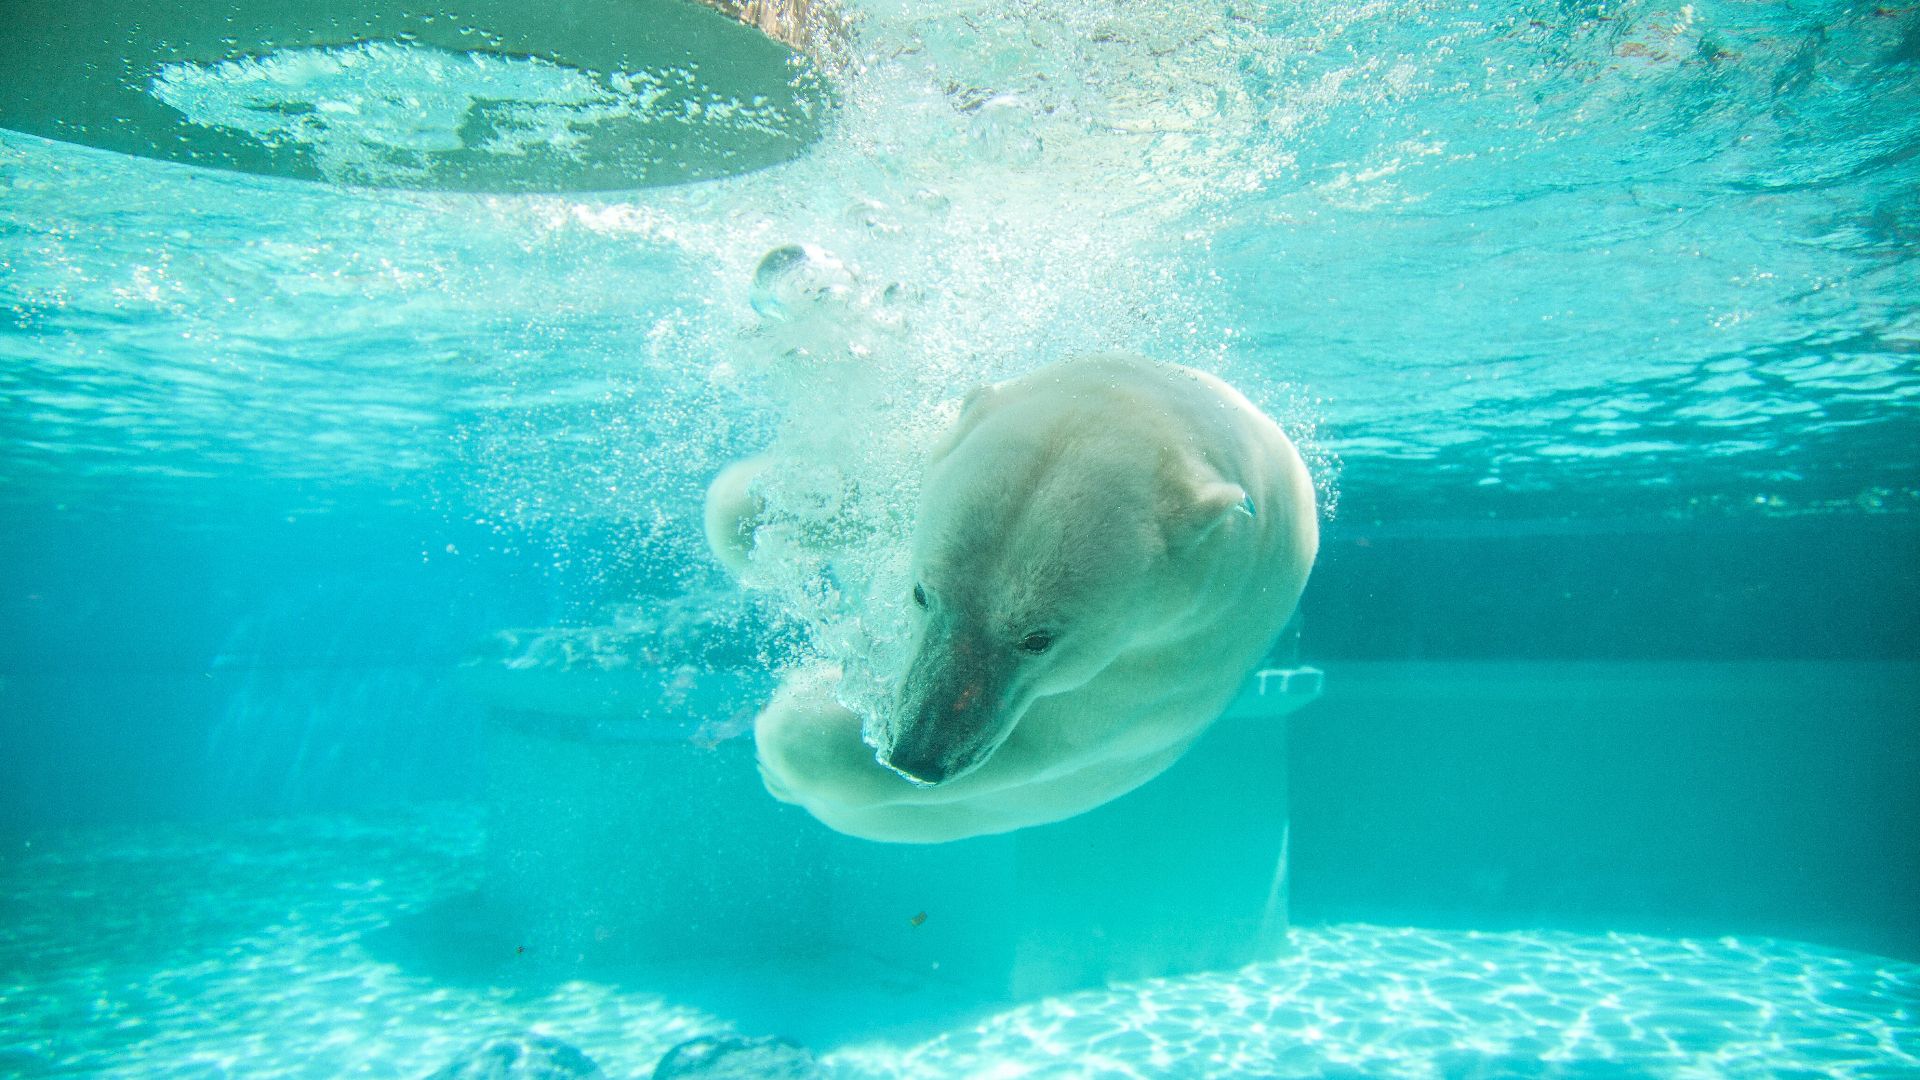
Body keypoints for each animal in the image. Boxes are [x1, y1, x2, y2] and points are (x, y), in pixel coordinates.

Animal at [710, 354, 1318, 843]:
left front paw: (795, 724)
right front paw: (762, 509)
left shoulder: (1163, 669)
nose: (917, 754)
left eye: (1038, 638)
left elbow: (1033, 751)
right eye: (921, 593)